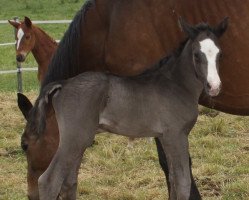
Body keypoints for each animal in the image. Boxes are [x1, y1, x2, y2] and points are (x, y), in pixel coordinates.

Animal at [16, 0, 247, 199]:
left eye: (220, 54)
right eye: (197, 55)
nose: (214, 87)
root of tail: (63, 84)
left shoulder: (169, 136)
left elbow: (175, 179)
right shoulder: (174, 134)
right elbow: (180, 180)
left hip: (78, 139)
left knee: (67, 181)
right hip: (76, 138)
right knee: (51, 180)